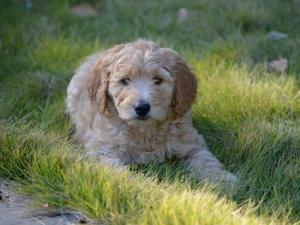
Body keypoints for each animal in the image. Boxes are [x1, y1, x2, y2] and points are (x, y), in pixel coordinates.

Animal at [67, 39, 238, 185]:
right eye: (125, 80)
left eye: (157, 80)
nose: (142, 107)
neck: (145, 131)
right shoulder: (102, 149)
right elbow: (114, 168)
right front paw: (134, 183)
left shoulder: (191, 143)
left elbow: (206, 160)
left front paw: (225, 181)